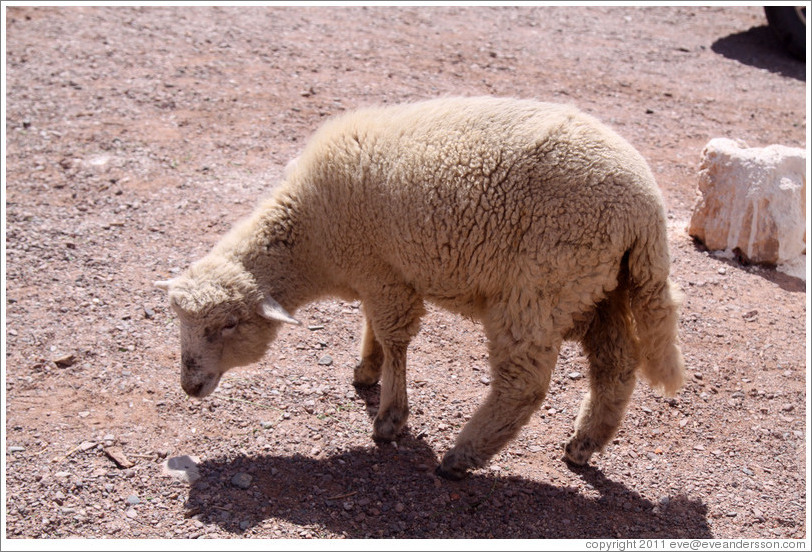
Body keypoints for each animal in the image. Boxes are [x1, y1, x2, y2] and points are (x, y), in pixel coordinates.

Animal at [155, 97, 680, 480]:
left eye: (228, 325)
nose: (189, 386)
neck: (311, 238)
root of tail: (646, 208)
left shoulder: (386, 275)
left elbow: (396, 342)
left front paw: (390, 418)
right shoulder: (379, 273)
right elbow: (373, 328)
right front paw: (366, 370)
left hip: (541, 287)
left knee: (524, 385)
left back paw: (462, 456)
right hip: (600, 289)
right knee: (616, 366)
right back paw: (582, 445)